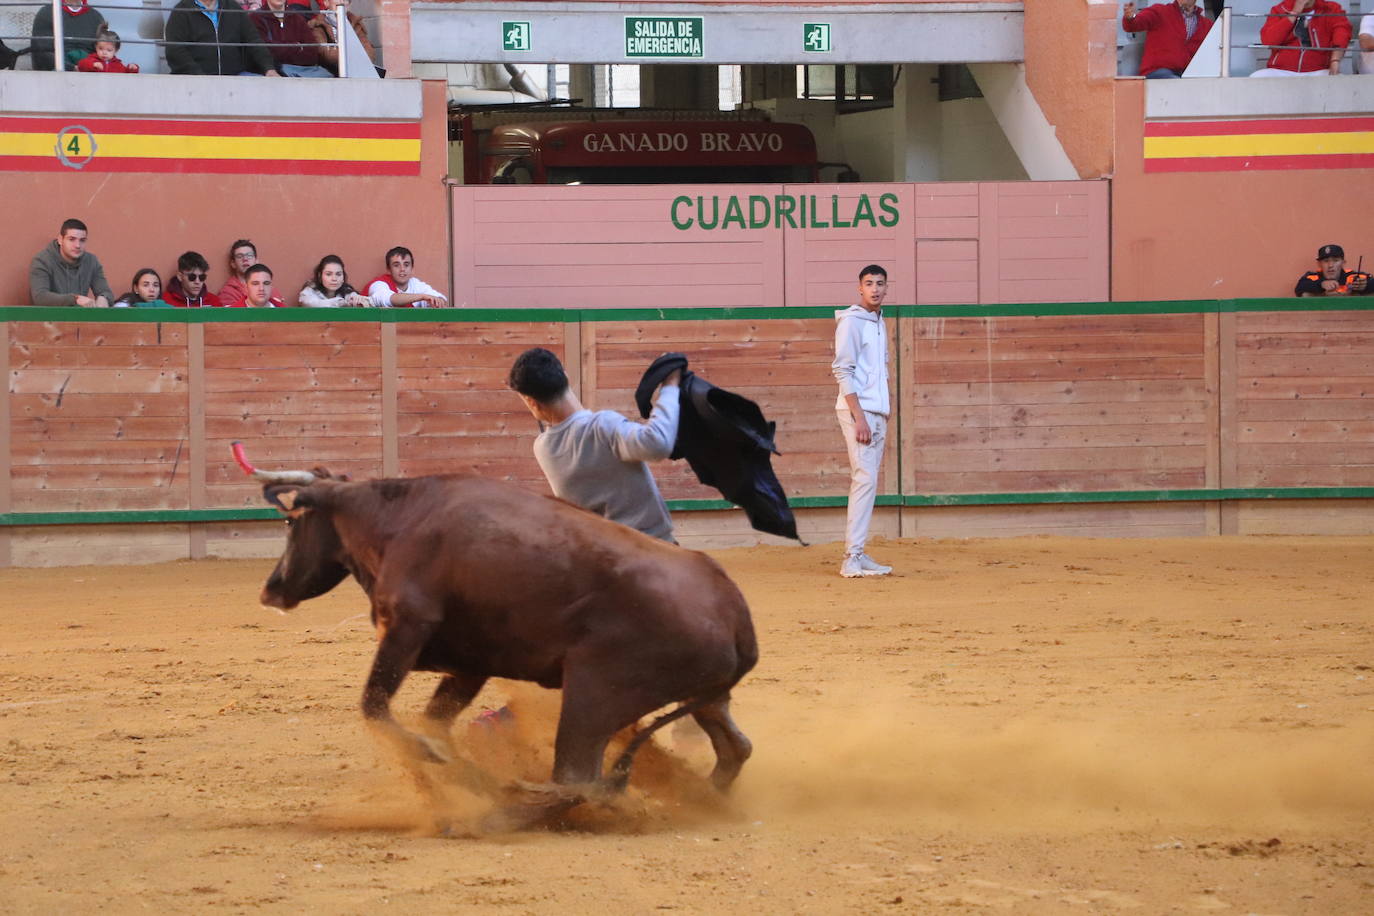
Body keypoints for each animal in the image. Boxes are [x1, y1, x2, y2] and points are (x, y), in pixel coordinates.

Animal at [239, 444, 763, 829]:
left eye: (290, 521)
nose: (270, 589)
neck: (398, 520)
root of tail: (735, 612)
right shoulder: (472, 664)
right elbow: (433, 723)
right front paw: (462, 778)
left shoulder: (406, 628)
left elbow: (377, 709)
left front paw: (449, 774)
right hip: (703, 698)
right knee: (733, 748)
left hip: (593, 697)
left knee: (576, 779)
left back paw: (502, 813)